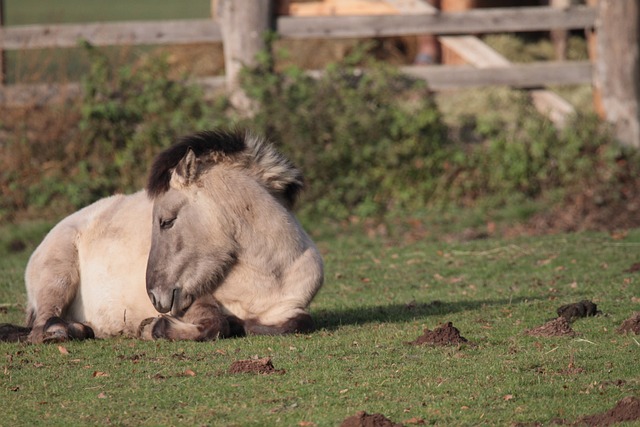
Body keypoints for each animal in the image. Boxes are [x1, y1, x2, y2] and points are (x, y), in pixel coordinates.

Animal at [9, 129, 322, 342]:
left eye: (166, 222)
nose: (154, 296)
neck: (265, 277)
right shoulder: (194, 299)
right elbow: (216, 323)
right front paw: (152, 326)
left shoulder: (290, 307)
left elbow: (296, 324)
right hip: (57, 276)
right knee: (42, 327)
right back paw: (62, 331)